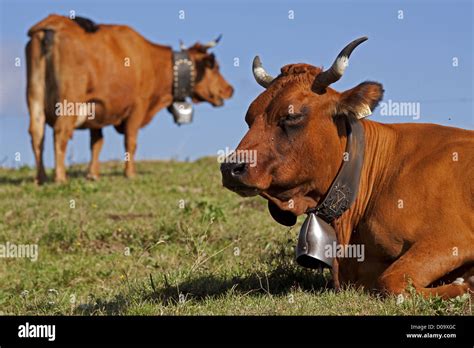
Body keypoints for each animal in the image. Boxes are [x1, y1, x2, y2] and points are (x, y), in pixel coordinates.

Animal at [25, 14, 233, 184]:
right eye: (214, 66)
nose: (230, 89)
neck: (152, 61)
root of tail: (52, 23)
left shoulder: (97, 110)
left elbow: (97, 143)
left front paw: (93, 175)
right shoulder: (138, 106)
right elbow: (131, 141)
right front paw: (130, 173)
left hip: (34, 97)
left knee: (37, 133)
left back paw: (40, 178)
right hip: (70, 101)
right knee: (60, 132)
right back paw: (60, 178)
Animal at [221, 37, 474, 300]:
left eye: (291, 116)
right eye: (249, 117)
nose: (230, 167)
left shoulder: (452, 238)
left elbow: (392, 281)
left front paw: (465, 286)